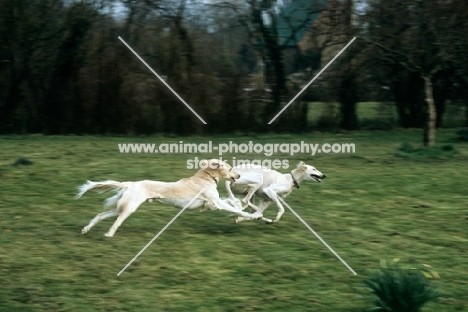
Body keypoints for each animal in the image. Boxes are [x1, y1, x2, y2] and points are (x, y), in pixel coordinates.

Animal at [75, 158, 262, 236]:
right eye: (230, 168)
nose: (238, 176)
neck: (205, 178)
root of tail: (130, 184)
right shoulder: (216, 202)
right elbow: (236, 210)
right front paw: (254, 215)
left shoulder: (213, 203)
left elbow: (230, 202)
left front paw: (242, 205)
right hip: (129, 208)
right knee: (117, 221)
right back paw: (109, 234)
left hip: (121, 206)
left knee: (101, 215)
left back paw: (86, 229)